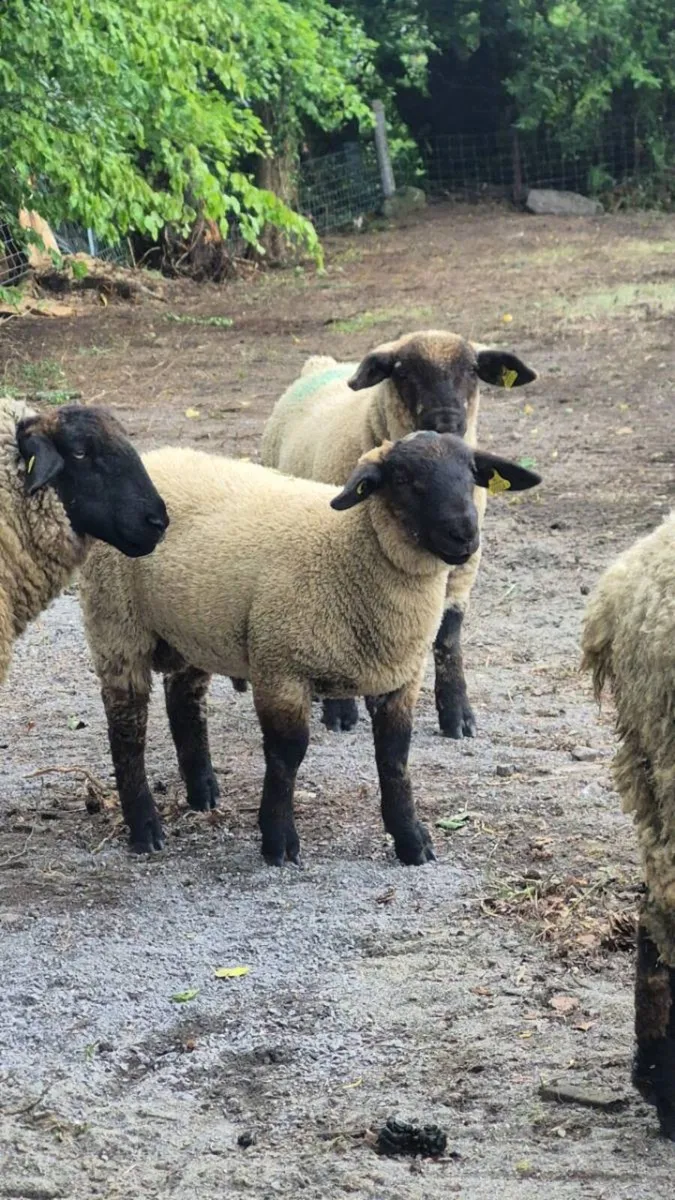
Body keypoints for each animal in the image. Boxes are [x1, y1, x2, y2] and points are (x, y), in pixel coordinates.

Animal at [78, 431, 541, 863]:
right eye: (404, 479)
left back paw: (202, 791)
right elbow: (287, 756)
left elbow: (395, 760)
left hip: (194, 628)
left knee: (185, 704)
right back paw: (145, 828)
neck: (352, 547)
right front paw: (278, 841)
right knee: (126, 732)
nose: (464, 534)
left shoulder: (401, 677)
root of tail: (157, 456)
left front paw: (412, 840)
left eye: (472, 473)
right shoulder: (281, 668)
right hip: (116, 627)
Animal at [260, 330, 538, 737]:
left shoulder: (461, 571)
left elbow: (447, 637)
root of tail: (320, 364)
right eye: (403, 373)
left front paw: (458, 715)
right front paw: (340, 711)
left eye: (472, 370)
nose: (446, 421)